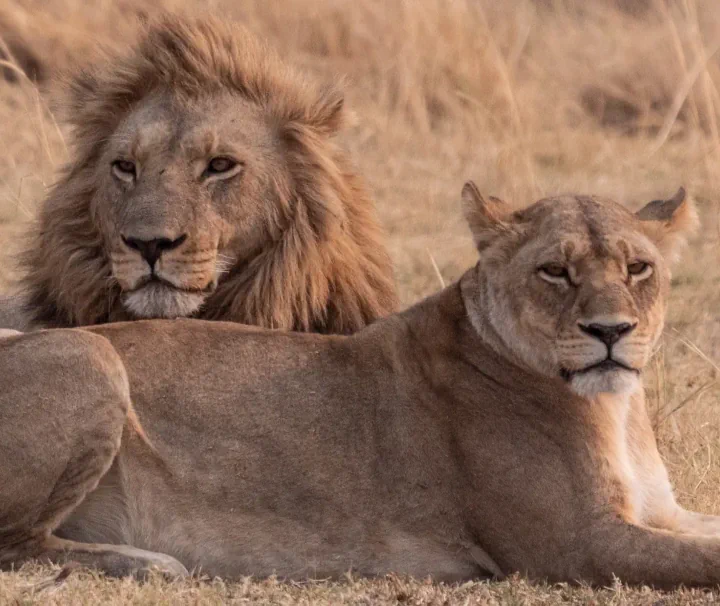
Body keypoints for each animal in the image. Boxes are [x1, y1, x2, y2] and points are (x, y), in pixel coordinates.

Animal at [3, 185, 720, 587]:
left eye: (638, 268)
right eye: (554, 271)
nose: (611, 331)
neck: (617, 410)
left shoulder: (659, 513)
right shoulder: (579, 544)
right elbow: (704, 561)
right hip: (92, 352)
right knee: (14, 543)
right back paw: (148, 564)